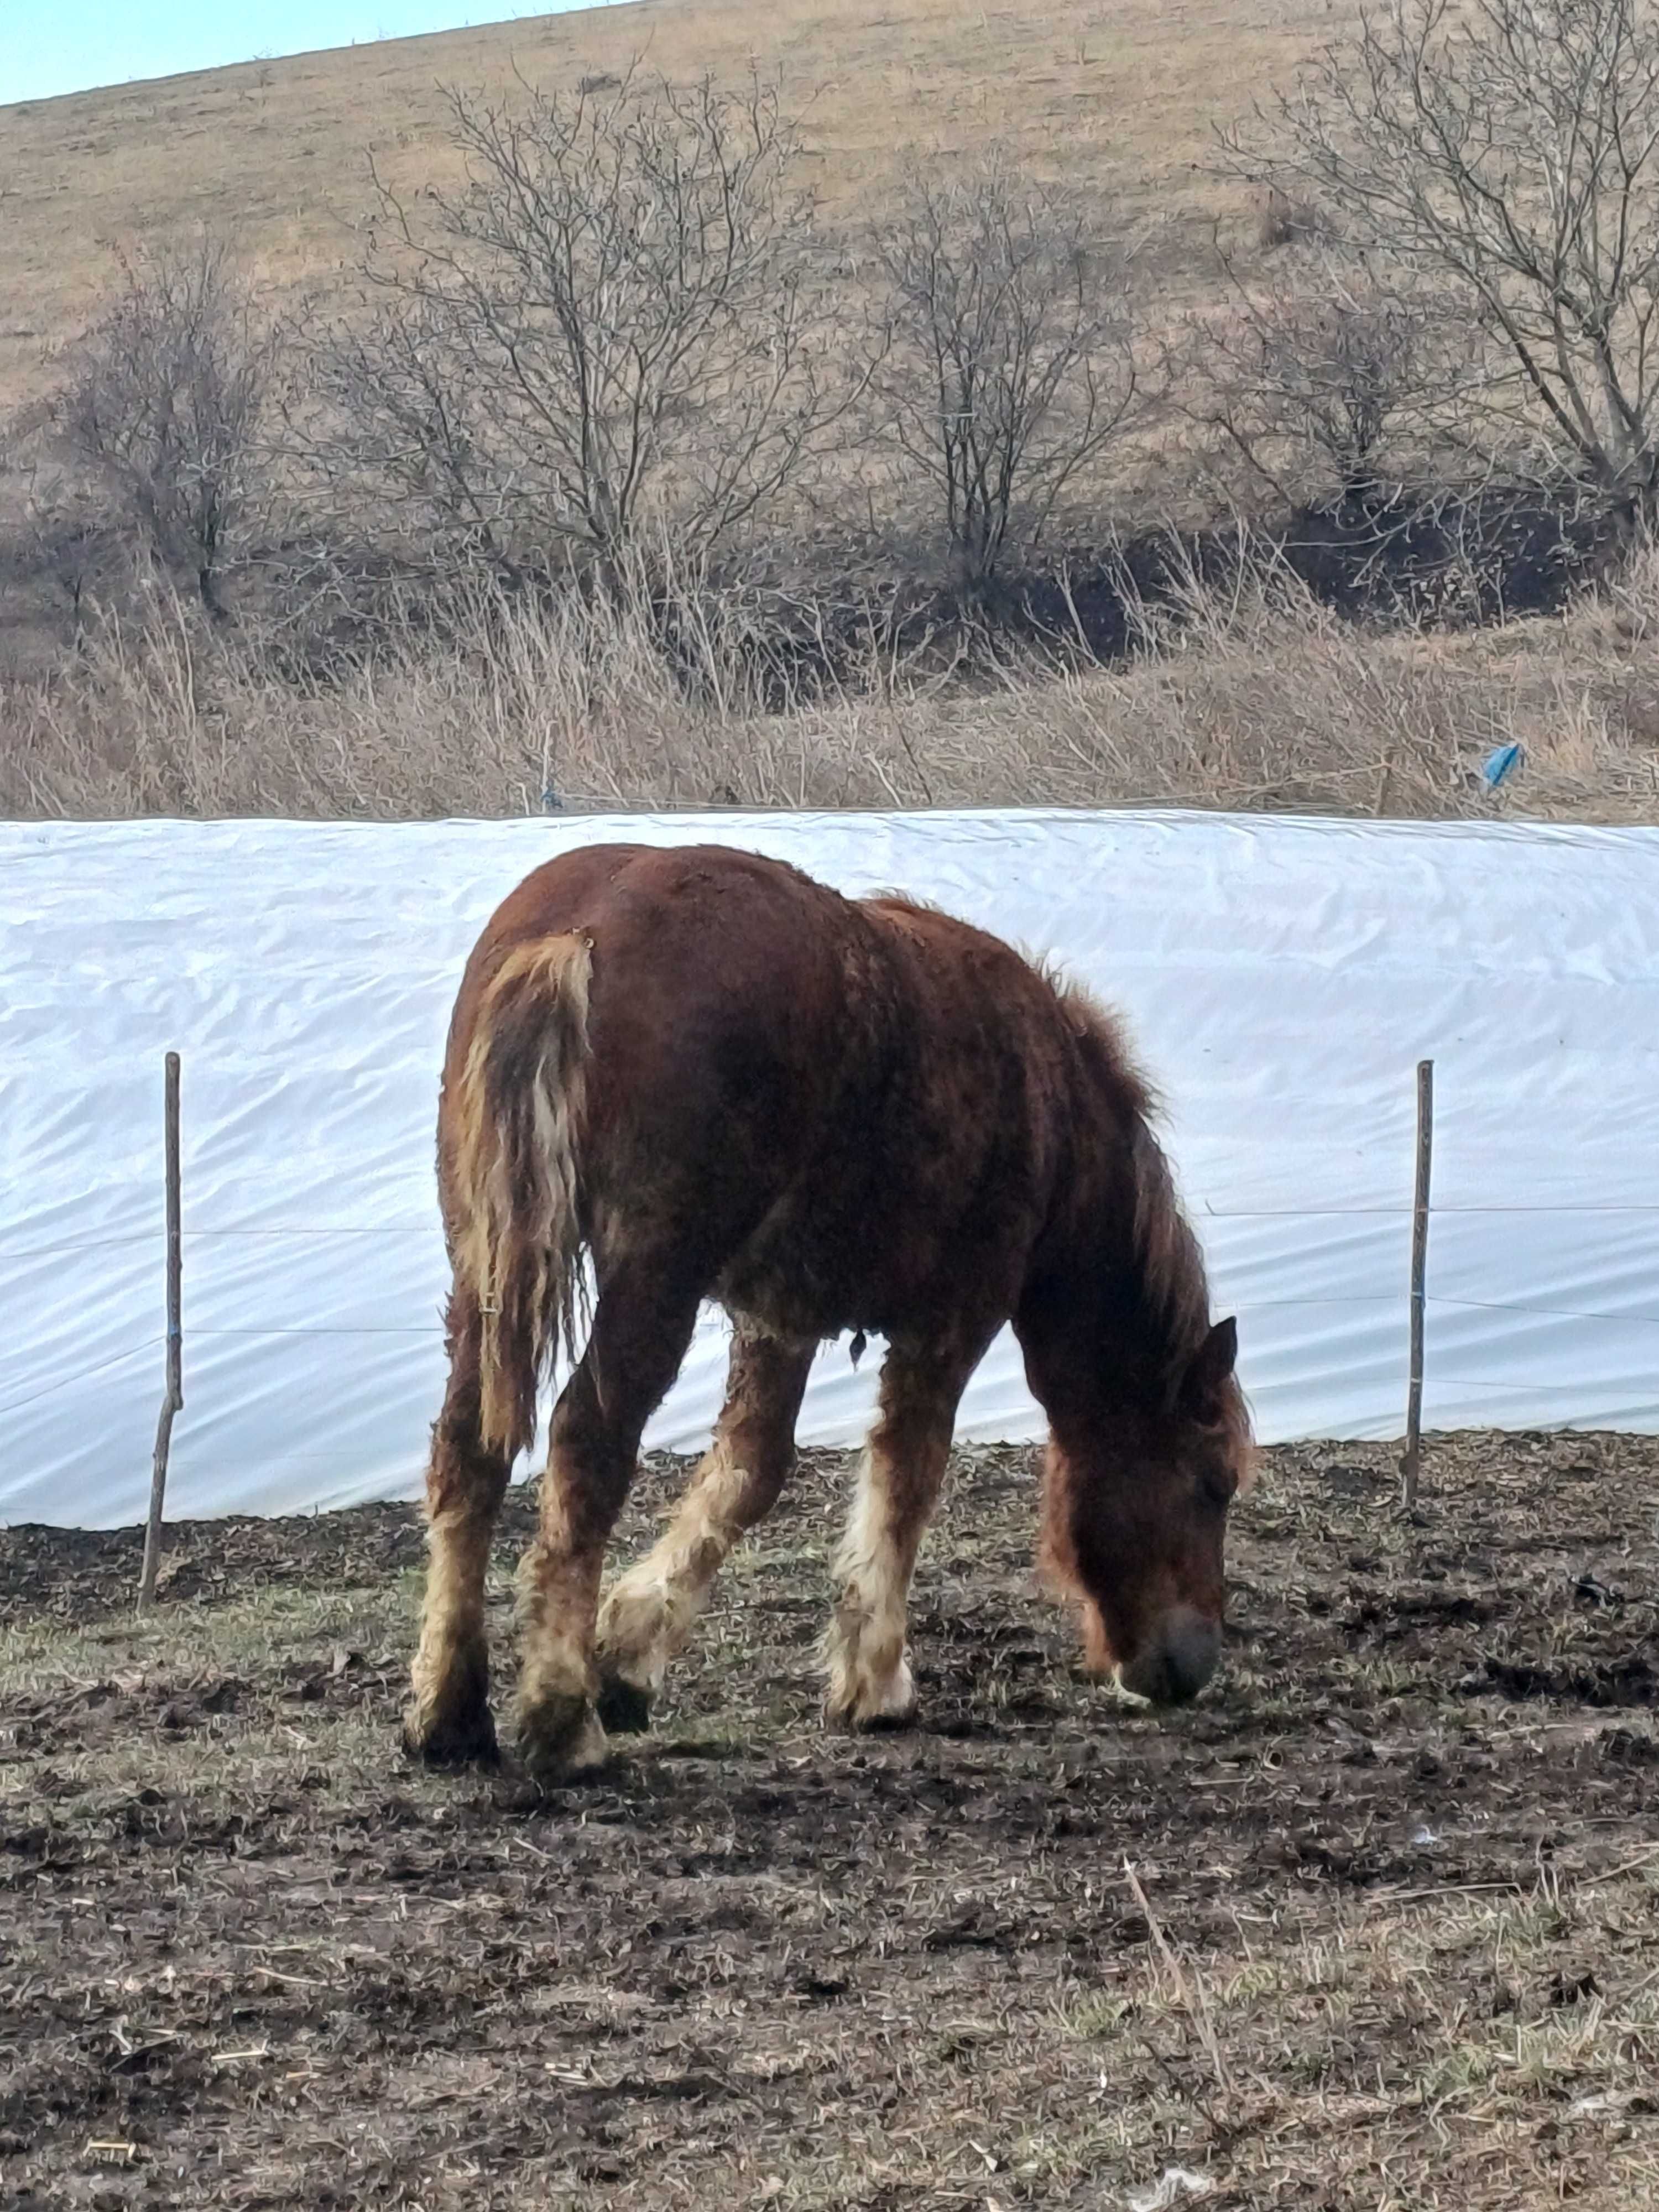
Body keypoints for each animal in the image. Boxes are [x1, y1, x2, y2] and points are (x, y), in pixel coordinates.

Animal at [409, 836, 1256, 1787]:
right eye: (1213, 1484)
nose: (1193, 1666)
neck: (1047, 1108)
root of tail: (578, 932)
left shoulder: (779, 1318)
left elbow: (751, 1471)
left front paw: (627, 1651)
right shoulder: (950, 1323)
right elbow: (906, 1478)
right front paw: (875, 1683)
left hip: (481, 1269)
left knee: (467, 1449)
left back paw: (449, 1712)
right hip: (653, 1279)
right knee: (585, 1447)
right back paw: (561, 1723)